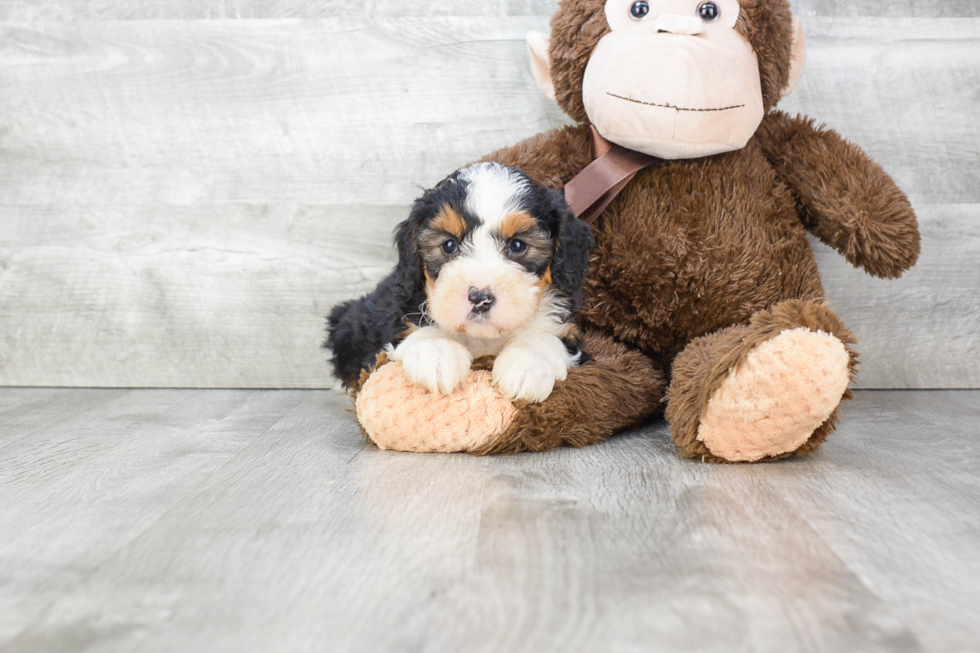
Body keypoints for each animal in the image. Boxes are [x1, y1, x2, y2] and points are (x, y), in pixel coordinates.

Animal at [326, 162, 592, 402]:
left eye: (517, 245)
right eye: (449, 245)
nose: (480, 298)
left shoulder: (566, 328)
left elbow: (545, 336)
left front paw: (526, 366)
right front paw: (437, 355)